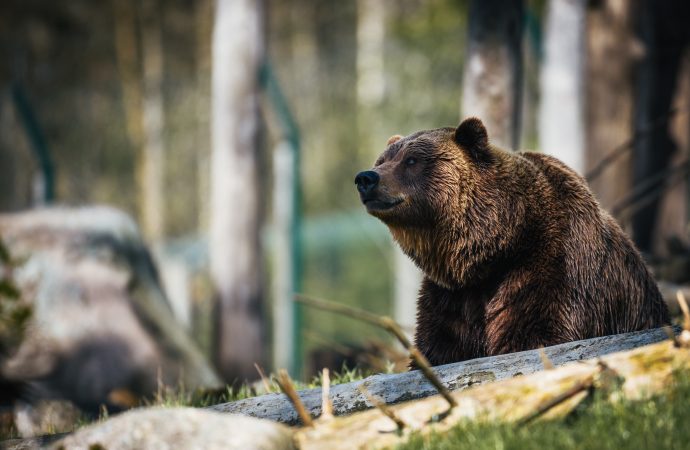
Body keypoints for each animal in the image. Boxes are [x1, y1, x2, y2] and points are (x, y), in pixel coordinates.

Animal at [354, 118, 668, 366]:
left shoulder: (552, 268)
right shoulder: (452, 297)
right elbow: (439, 347)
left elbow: (536, 334)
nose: (366, 178)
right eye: (382, 160)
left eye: (411, 160)